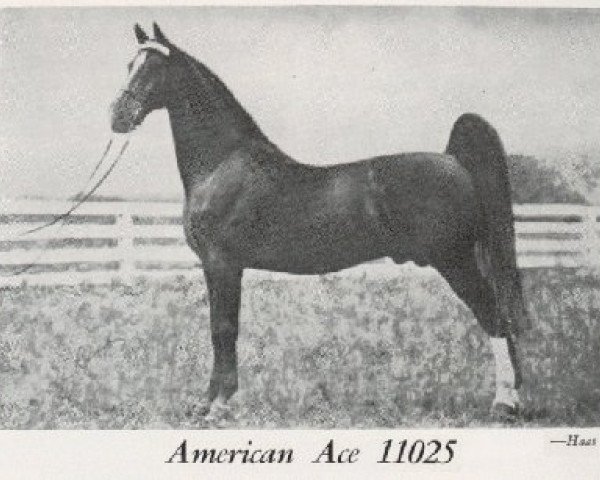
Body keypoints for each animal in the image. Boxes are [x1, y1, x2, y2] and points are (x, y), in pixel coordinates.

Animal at [110, 22, 528, 422]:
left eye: (154, 68)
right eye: (129, 64)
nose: (118, 116)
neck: (223, 163)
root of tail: (454, 159)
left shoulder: (222, 264)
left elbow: (223, 330)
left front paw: (218, 405)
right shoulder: (220, 267)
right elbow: (221, 329)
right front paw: (206, 402)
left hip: (456, 261)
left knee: (494, 317)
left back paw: (504, 403)